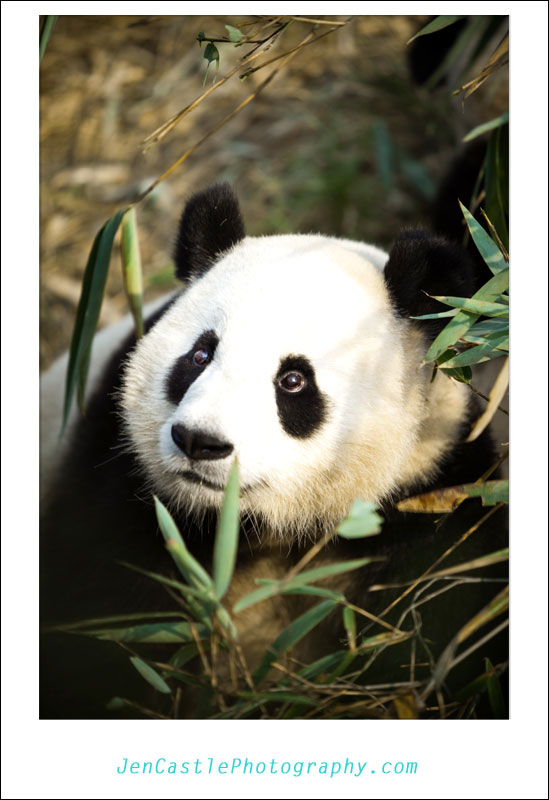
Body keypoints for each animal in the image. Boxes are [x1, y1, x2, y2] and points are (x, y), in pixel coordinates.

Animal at [40, 184, 508, 719]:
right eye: (199, 355)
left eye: (293, 380)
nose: (199, 441)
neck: (259, 531)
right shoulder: (120, 484)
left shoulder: (436, 490)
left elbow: (434, 627)